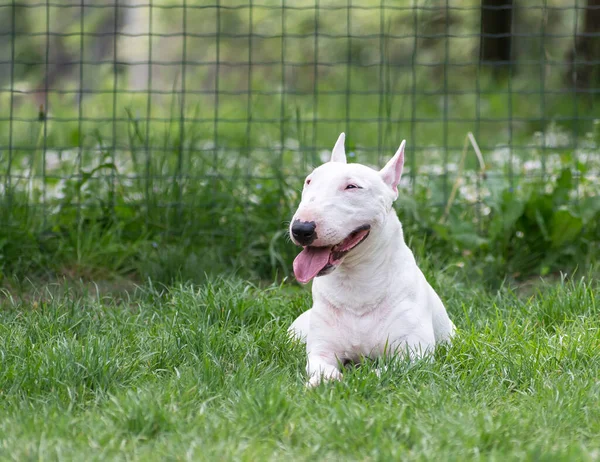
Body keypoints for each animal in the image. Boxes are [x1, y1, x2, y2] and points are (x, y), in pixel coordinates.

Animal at [288, 133, 452, 386]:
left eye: (352, 186)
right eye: (309, 181)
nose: (301, 229)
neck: (356, 283)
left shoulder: (414, 356)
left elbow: (382, 372)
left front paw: (352, 379)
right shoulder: (320, 351)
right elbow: (319, 367)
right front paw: (320, 381)